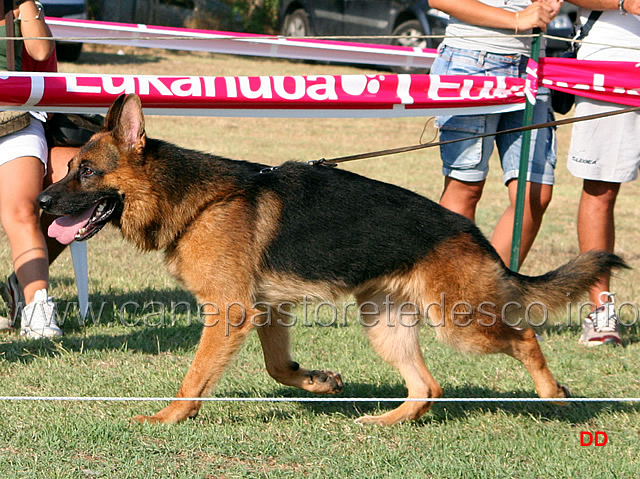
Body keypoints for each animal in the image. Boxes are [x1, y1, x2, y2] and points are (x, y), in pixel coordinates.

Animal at [38, 95, 624, 426]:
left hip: (461, 325)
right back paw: (384, 423)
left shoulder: (228, 313)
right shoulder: (266, 311)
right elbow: (278, 368)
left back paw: (552, 395)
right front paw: (320, 382)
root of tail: (473, 234)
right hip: (385, 324)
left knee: (524, 337)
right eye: (67, 167)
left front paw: (168, 417)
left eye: (85, 171)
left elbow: (194, 377)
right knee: (428, 388)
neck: (194, 199)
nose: (41, 202)